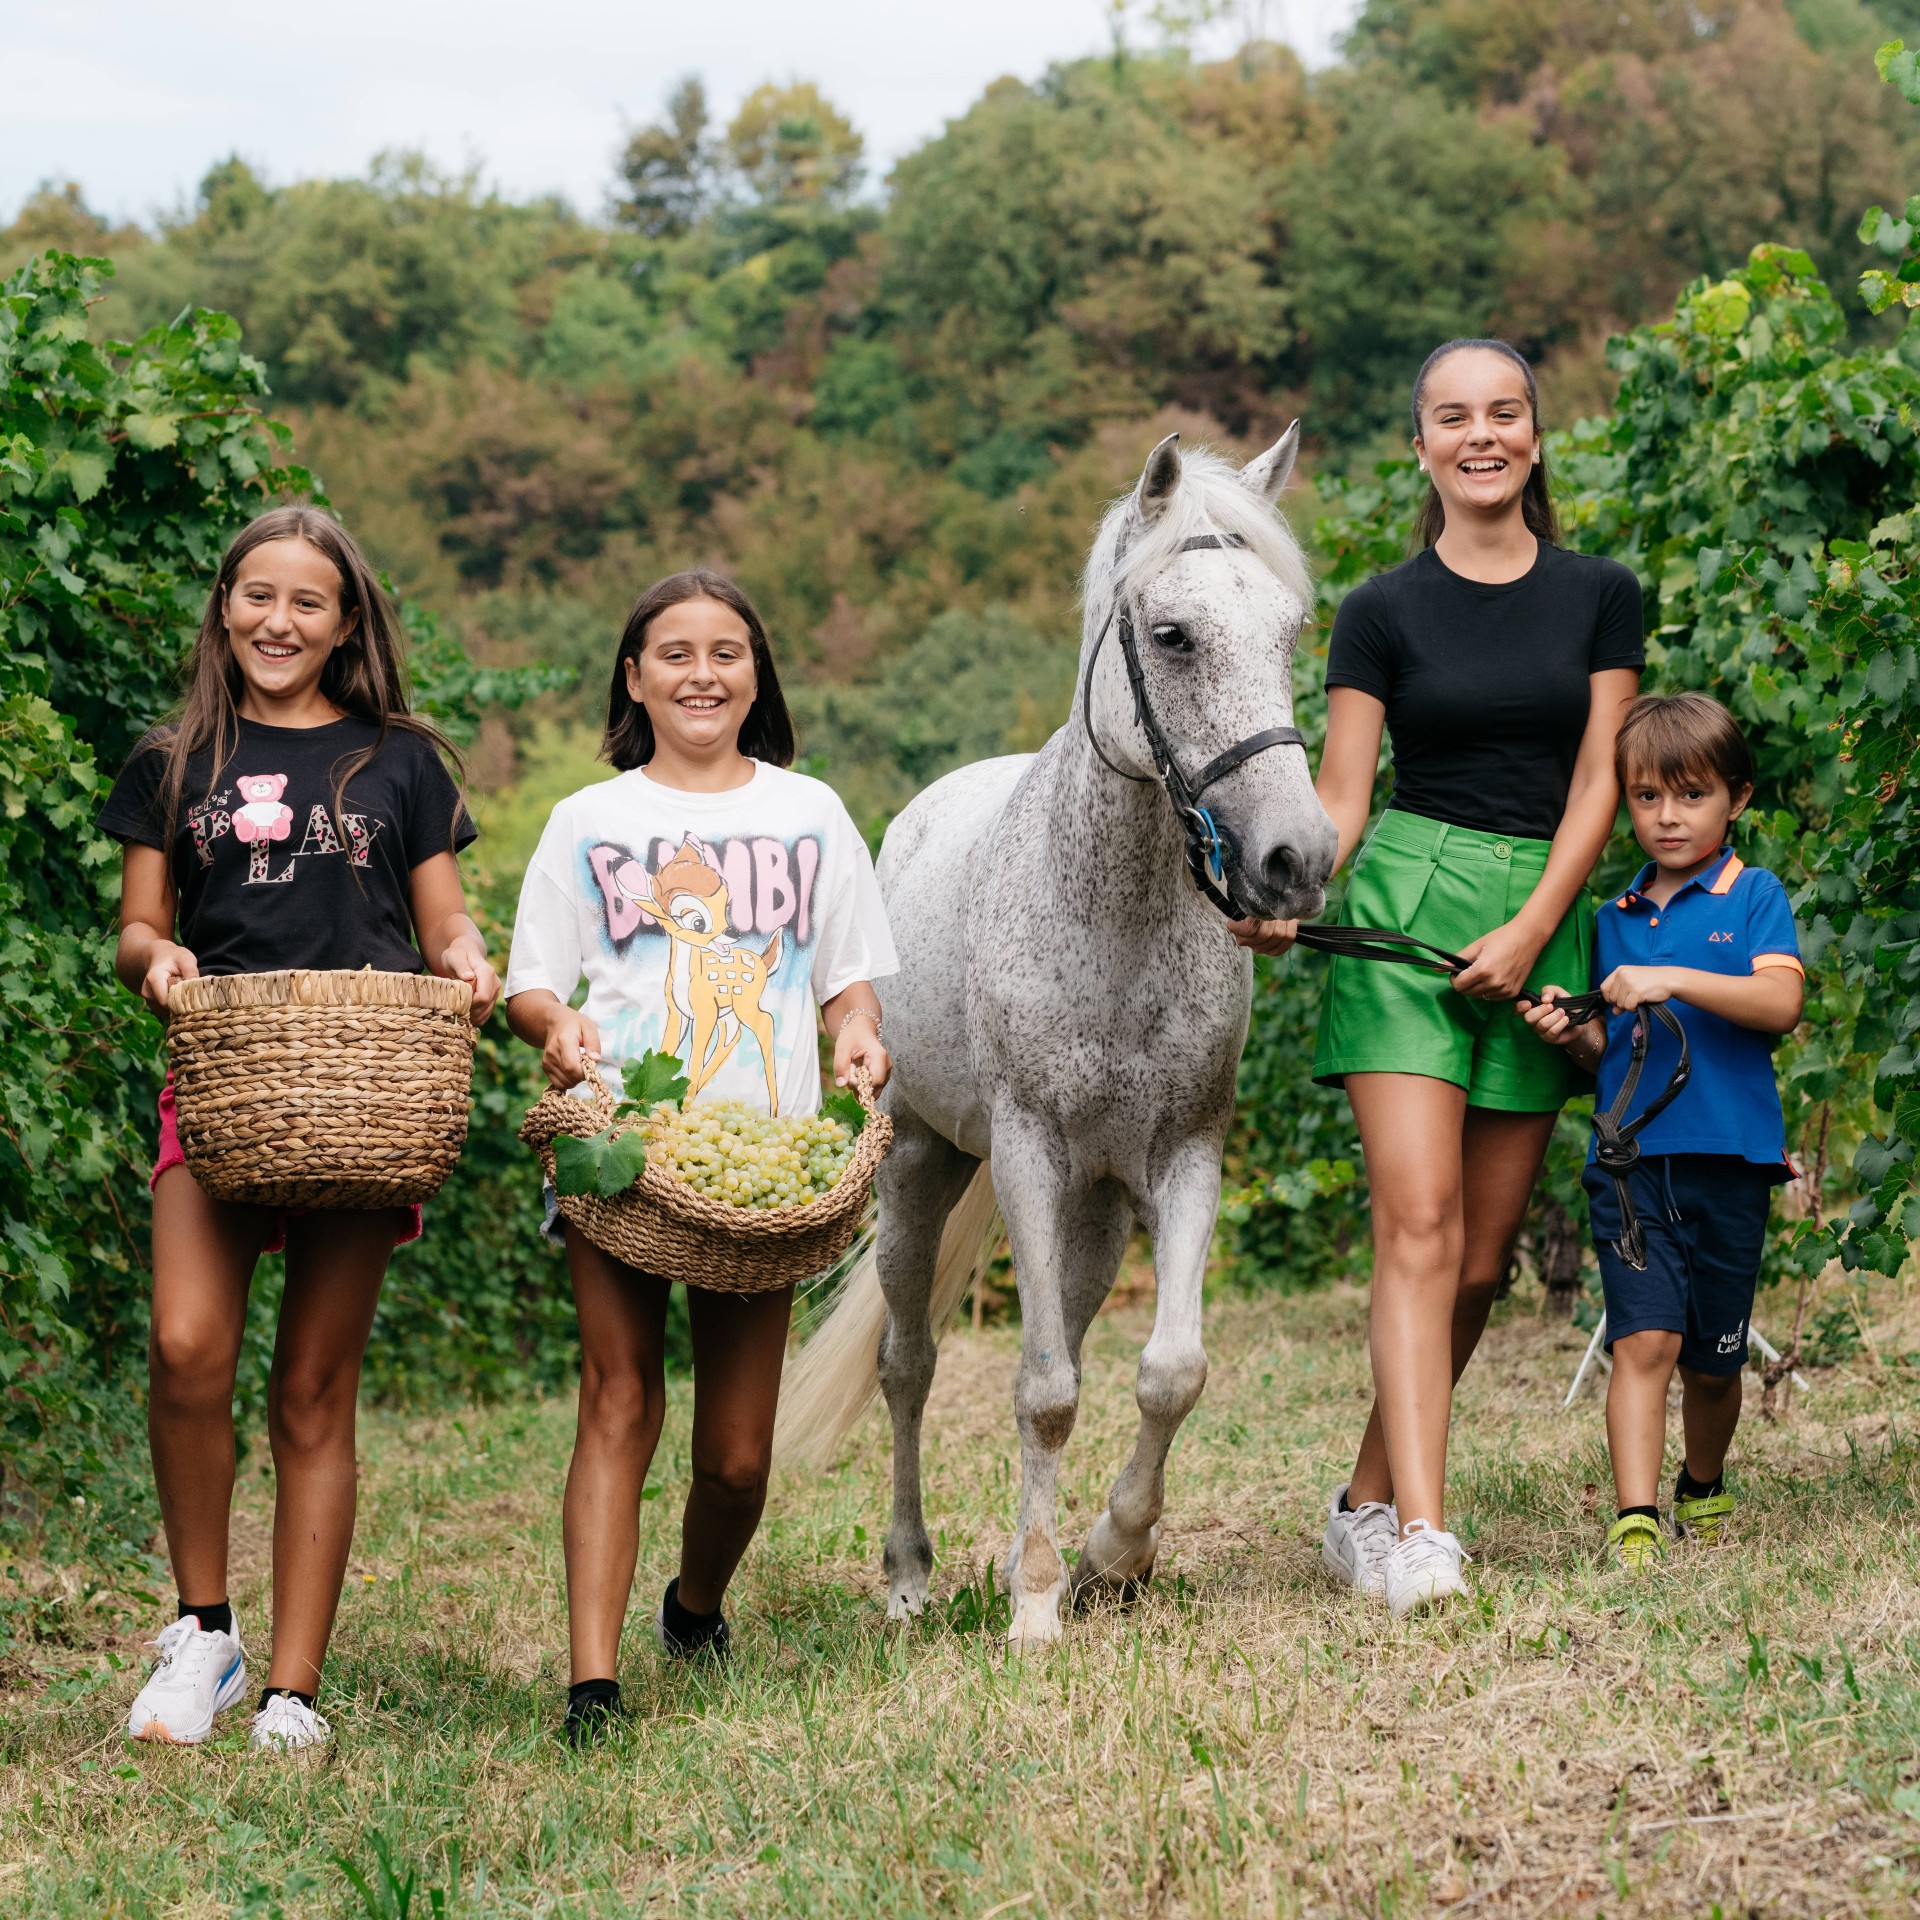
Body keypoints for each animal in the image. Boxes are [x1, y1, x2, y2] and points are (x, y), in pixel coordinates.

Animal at [775, 428, 1336, 1643]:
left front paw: (1110, 1556)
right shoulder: (1027, 1154)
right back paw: (909, 1577)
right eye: (1173, 636)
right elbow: (1036, 1391)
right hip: (923, 1171)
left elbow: (1166, 1372)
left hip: (1097, 1208)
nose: (1299, 859)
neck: (1113, 922)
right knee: (909, 1365)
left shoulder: (1183, 1158)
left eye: (1288, 632)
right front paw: (1033, 1607)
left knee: (1068, 1340)